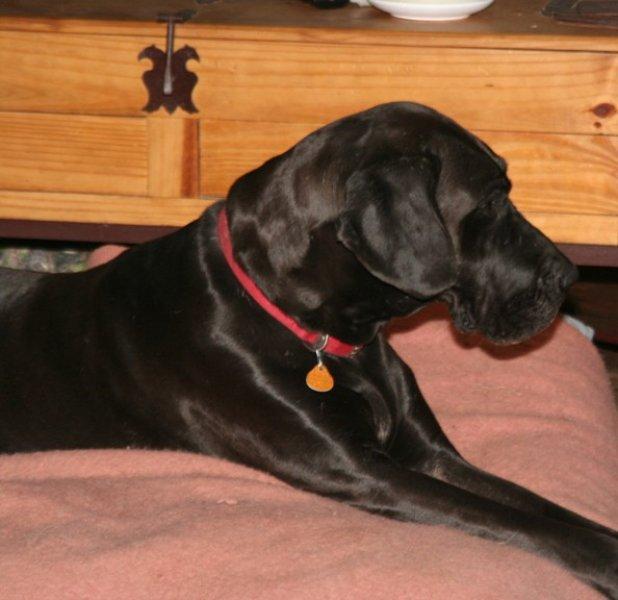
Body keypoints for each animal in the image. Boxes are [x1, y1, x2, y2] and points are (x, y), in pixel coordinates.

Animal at [0, 102, 616, 597]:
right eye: (490, 202)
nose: (569, 277)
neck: (331, 339)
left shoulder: (431, 456)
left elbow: (537, 504)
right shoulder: (364, 470)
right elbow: (520, 521)